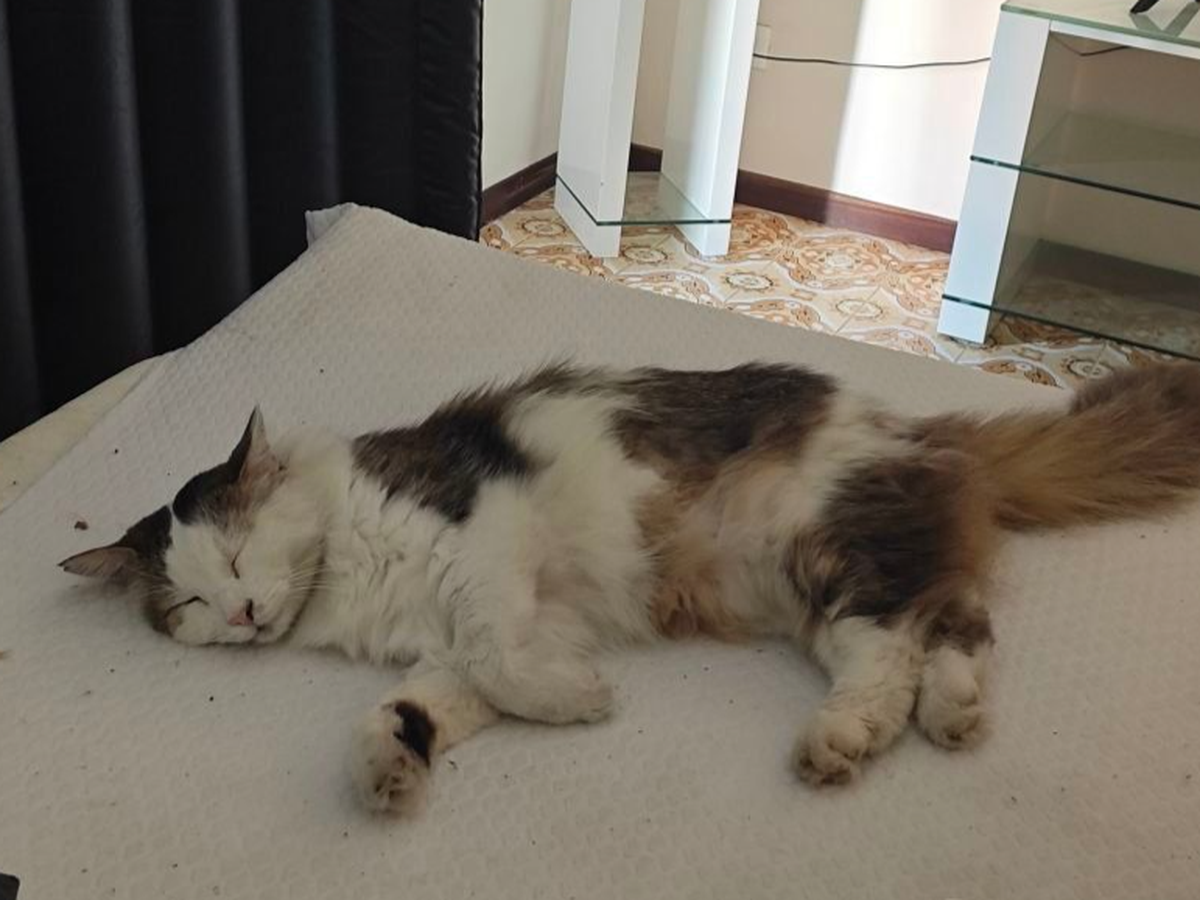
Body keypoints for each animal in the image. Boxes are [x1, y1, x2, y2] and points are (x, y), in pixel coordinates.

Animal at [61, 361, 1200, 813]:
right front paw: (391, 771)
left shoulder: (486, 549)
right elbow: (410, 709)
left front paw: (584, 700)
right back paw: (926, 720)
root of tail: (917, 431)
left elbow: (502, 668)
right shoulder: (461, 638)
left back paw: (851, 738)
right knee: (947, 627)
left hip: (828, 552)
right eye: (189, 606)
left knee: (904, 643)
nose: (244, 615)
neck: (343, 575)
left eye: (236, 559)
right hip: (818, 583)